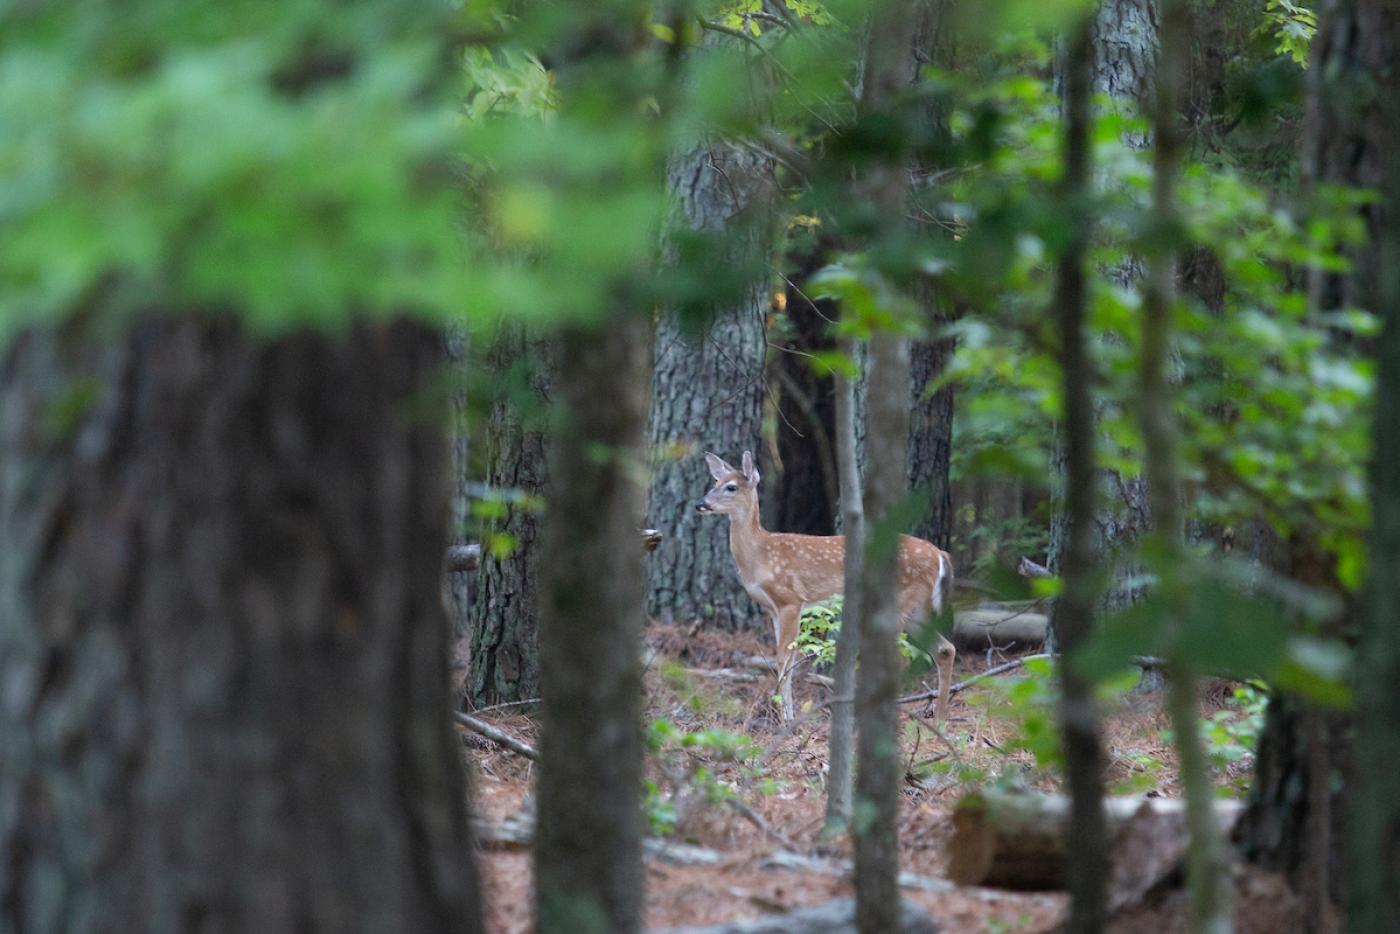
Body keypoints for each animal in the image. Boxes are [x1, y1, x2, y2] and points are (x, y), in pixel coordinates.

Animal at [696, 450, 956, 722]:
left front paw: (785, 719)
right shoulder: (772, 609)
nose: (700, 504)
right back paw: (939, 718)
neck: (760, 556)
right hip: (917, 608)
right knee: (945, 649)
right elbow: (789, 660)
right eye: (714, 482)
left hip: (900, 600)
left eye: (731, 487)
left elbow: (783, 659)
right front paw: (787, 716)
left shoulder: (790, 600)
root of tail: (940, 554)